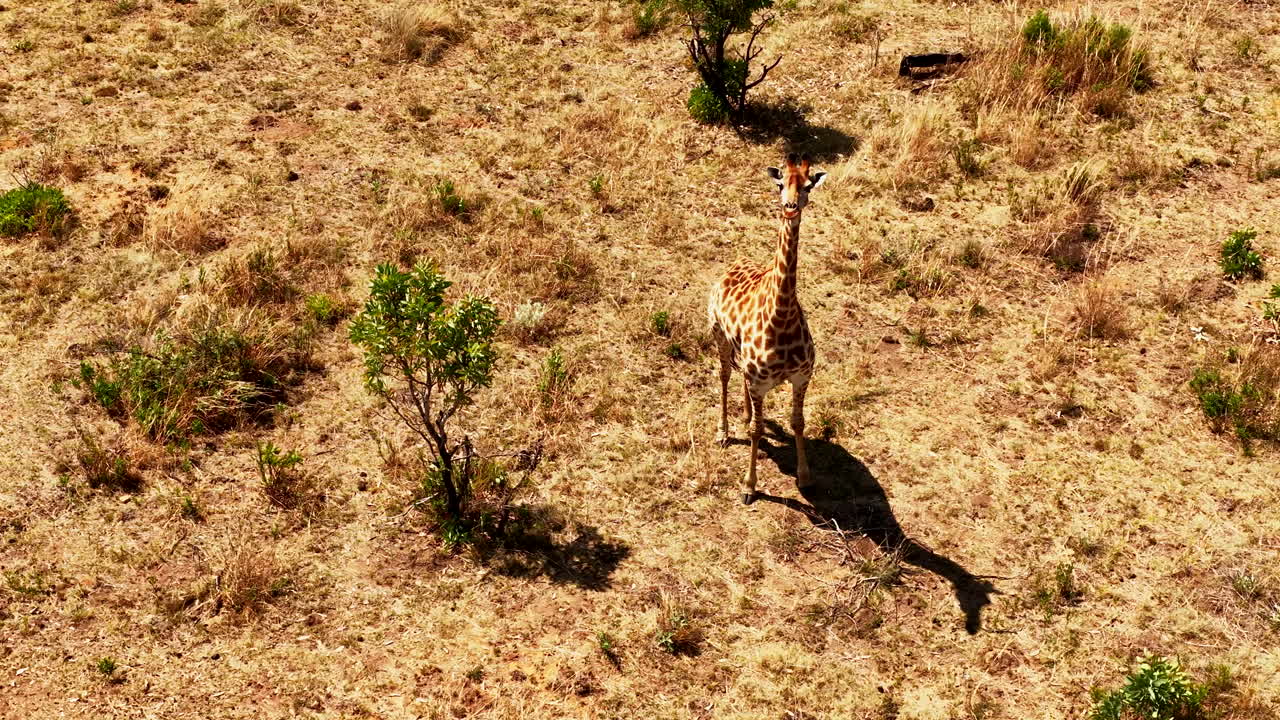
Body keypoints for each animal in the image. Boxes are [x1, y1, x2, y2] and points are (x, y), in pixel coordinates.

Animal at [708, 153, 827, 505]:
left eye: (807, 185)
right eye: (780, 183)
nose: (790, 206)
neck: (782, 317)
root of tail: (732, 265)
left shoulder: (802, 376)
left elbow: (797, 422)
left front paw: (806, 478)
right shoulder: (759, 381)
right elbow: (757, 431)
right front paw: (748, 487)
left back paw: (745, 415)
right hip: (718, 336)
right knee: (724, 375)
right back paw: (723, 432)